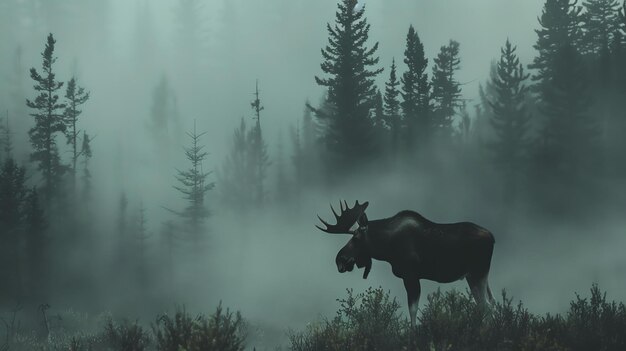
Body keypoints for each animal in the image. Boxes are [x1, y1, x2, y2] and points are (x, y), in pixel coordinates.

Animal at [314, 201, 494, 328]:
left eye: (356, 237)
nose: (340, 259)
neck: (386, 247)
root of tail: (492, 237)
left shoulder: (411, 276)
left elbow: (412, 310)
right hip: (475, 276)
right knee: (489, 302)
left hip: (478, 273)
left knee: (486, 306)